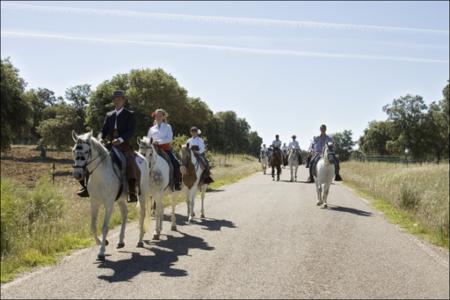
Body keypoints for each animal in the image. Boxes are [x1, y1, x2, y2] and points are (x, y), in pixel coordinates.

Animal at [72, 131, 149, 260]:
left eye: (86, 151)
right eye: (74, 151)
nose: (77, 174)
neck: (100, 175)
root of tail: (142, 158)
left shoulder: (109, 203)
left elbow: (104, 227)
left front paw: (101, 252)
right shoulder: (94, 202)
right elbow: (92, 226)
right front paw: (102, 242)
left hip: (142, 195)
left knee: (142, 214)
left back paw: (140, 240)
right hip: (121, 199)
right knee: (124, 214)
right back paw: (121, 241)